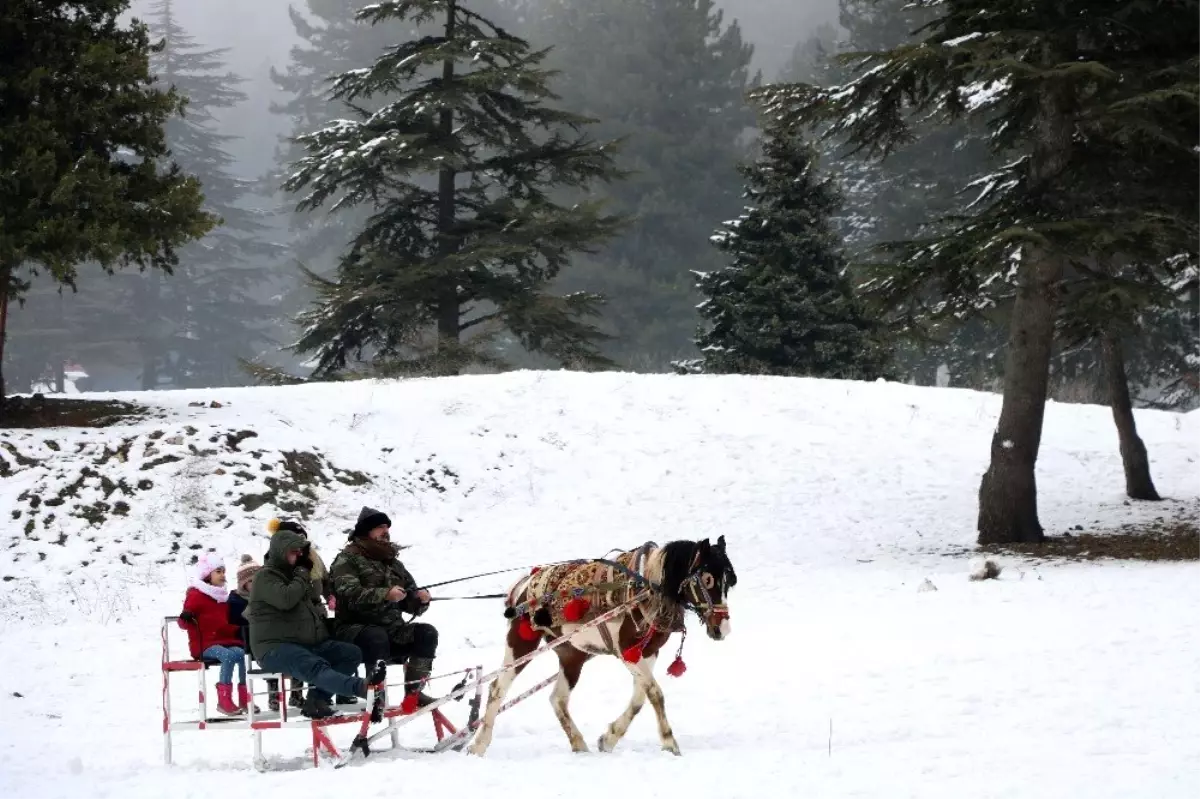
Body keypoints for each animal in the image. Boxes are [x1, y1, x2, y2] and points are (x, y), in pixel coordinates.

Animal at [465, 535, 729, 753]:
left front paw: (609, 738)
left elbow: (640, 697)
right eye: (707, 579)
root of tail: (525, 582)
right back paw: (479, 744)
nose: (723, 629)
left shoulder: (648, 652)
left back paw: (578, 743)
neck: (645, 590)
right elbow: (655, 693)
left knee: (558, 698)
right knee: (498, 688)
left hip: (572, 653)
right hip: (521, 642)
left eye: (729, 582)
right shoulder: (626, 651)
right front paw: (669, 742)